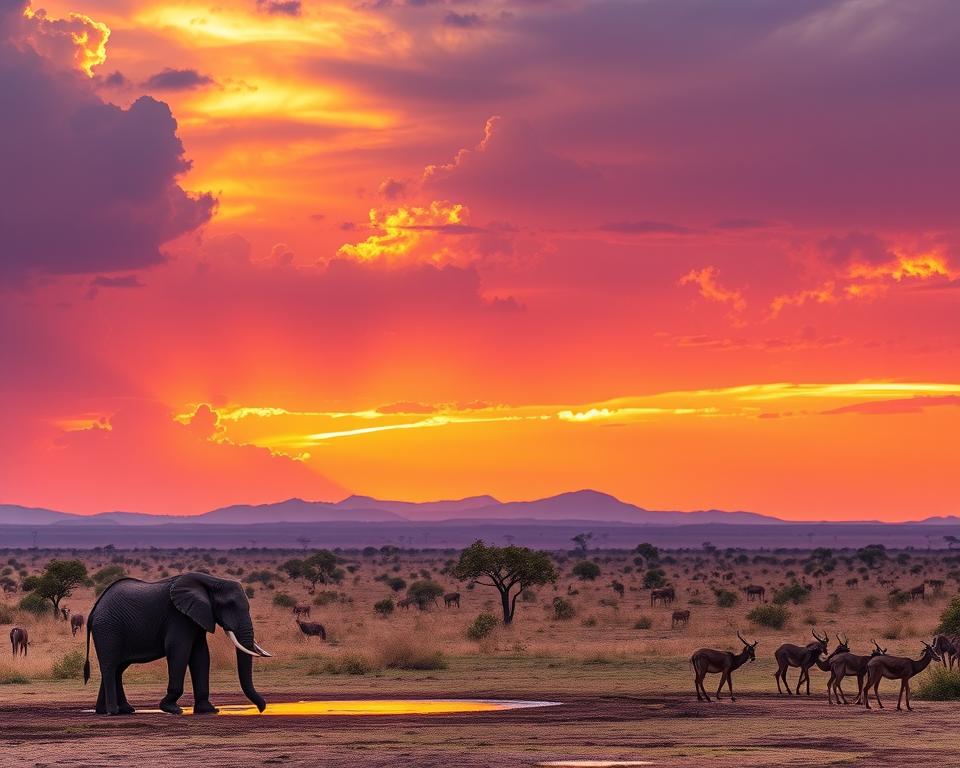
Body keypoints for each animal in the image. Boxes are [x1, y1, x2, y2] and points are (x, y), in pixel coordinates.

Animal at [84, 573, 272, 716]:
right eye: (229, 605)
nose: (262, 708)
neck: (211, 581)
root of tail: (94, 609)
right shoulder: (178, 616)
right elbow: (178, 650)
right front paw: (173, 709)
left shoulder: (196, 617)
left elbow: (201, 655)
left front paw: (208, 710)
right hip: (108, 629)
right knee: (110, 667)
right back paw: (113, 711)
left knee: (118, 668)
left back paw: (118, 710)